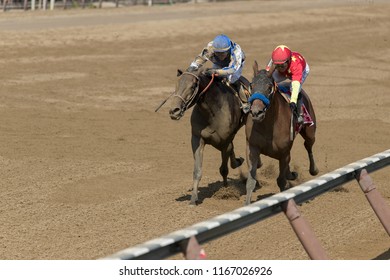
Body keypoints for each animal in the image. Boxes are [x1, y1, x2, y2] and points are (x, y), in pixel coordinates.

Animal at [168, 66, 247, 205]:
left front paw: (226, 191)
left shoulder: (225, 141)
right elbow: (197, 171)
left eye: (193, 86)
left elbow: (224, 169)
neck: (213, 112)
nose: (174, 110)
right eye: (177, 84)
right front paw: (193, 198)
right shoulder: (197, 139)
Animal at [245, 61, 318, 206]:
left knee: (308, 146)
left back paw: (313, 170)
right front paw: (246, 205)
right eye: (251, 85)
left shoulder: (284, 152)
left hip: (310, 131)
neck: (269, 126)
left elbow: (281, 180)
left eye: (269, 87)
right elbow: (251, 180)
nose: (256, 112)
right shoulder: (253, 147)